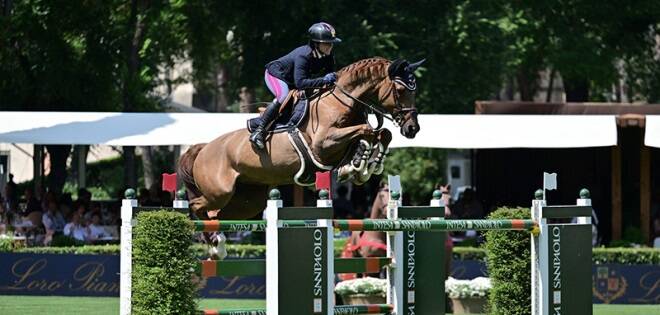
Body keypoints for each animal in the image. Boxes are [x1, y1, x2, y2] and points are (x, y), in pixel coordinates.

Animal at [177, 58, 422, 222]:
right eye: (400, 90)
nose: (412, 128)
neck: (340, 101)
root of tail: (202, 149)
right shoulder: (323, 144)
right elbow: (366, 130)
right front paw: (358, 165)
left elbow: (380, 133)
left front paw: (364, 165)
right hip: (219, 192)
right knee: (197, 206)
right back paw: (211, 241)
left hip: (248, 200)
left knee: (220, 214)